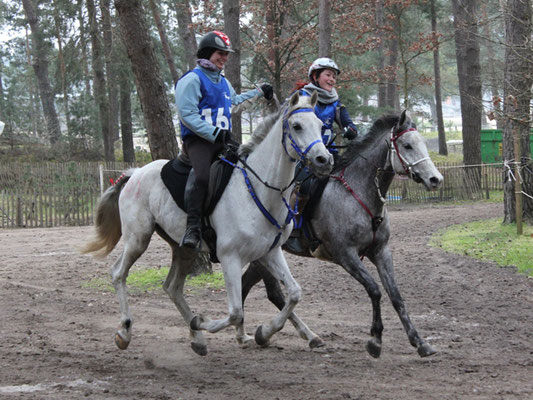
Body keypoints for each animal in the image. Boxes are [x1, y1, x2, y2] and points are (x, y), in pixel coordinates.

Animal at [84, 91, 332, 356]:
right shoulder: (230, 257)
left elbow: (294, 293)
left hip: (183, 249)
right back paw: (125, 331)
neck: (257, 190)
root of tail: (134, 173)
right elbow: (235, 313)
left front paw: (264, 332)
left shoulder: (270, 252)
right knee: (118, 273)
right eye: (296, 126)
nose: (324, 160)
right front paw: (206, 323)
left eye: (320, 125)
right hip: (138, 239)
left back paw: (198, 340)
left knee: (172, 287)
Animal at [239, 111, 442, 358]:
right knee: (270, 292)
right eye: (407, 145)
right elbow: (375, 290)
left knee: (256, 288)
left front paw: (420, 342)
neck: (358, 193)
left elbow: (396, 296)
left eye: (422, 143)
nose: (435, 179)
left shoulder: (381, 252)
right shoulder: (345, 255)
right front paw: (375, 340)